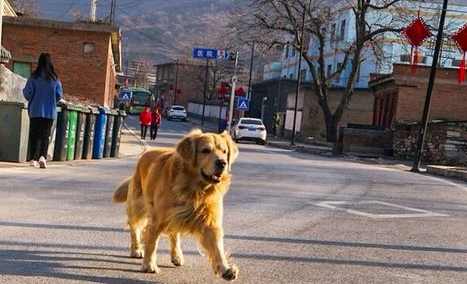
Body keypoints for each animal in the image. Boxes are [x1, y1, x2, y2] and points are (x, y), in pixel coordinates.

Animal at [112, 130, 239, 280]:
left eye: (224, 151)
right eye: (206, 150)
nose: (222, 163)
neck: (194, 188)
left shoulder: (210, 222)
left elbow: (217, 247)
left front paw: (225, 269)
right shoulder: (157, 219)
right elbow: (152, 244)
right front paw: (149, 265)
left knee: (174, 235)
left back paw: (177, 255)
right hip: (137, 206)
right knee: (134, 227)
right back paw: (136, 249)